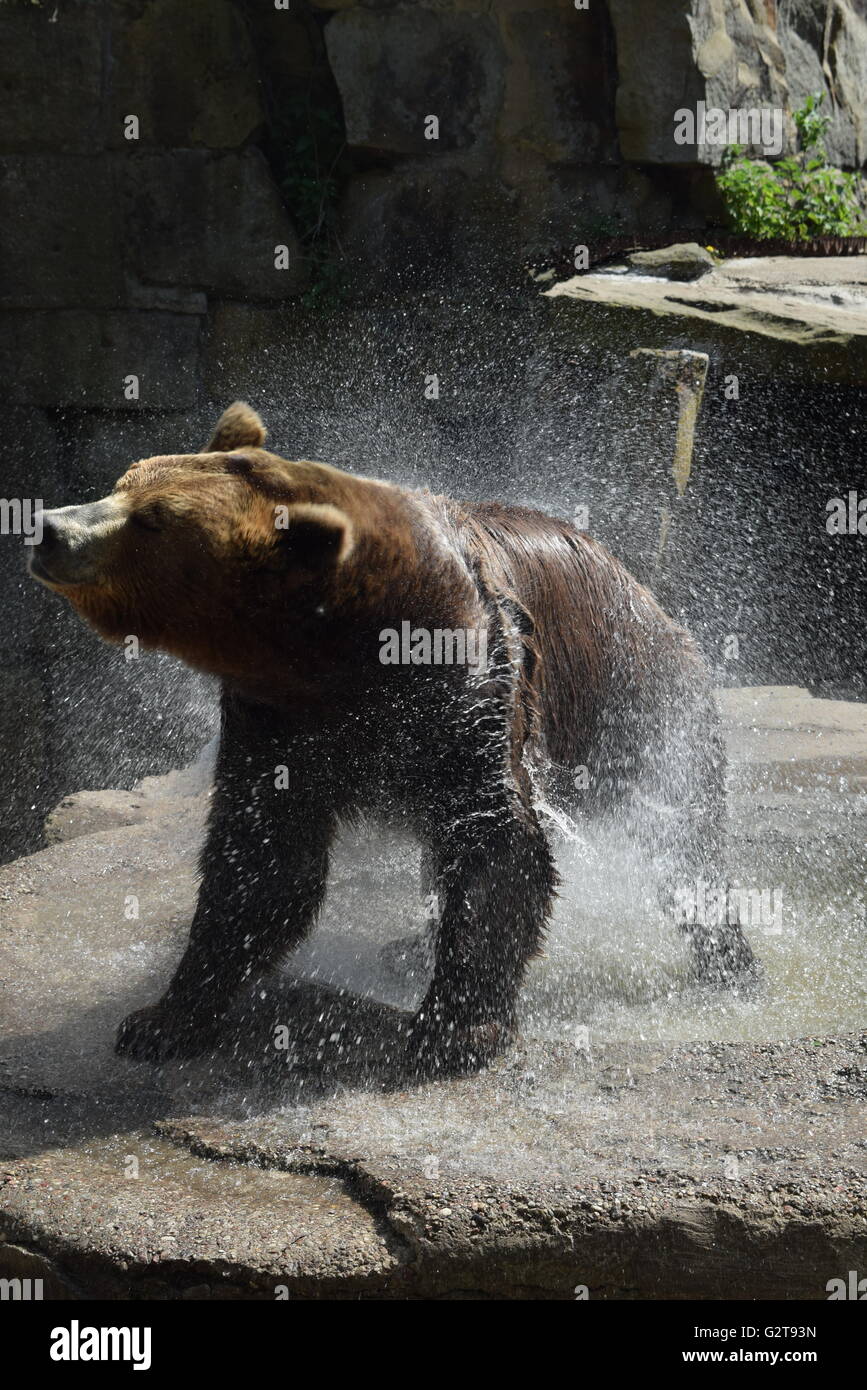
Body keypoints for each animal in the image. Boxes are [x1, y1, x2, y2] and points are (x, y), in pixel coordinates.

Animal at [28, 403, 750, 1073]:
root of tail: (645, 592)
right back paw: (407, 948)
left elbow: (499, 844)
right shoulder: (274, 718)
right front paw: (161, 1019)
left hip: (637, 707)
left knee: (679, 833)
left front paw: (455, 1029)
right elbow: (262, 858)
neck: (339, 646)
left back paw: (730, 959)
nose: (49, 528)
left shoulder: (467, 689)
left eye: (151, 519)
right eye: (123, 483)